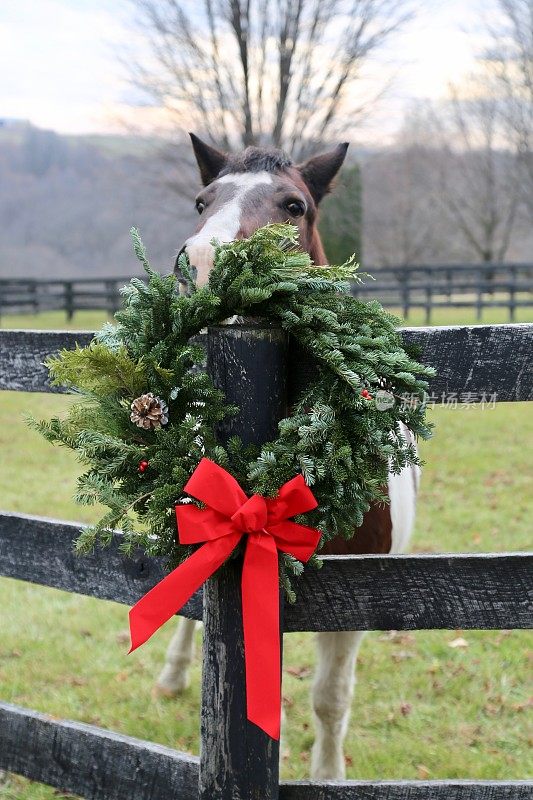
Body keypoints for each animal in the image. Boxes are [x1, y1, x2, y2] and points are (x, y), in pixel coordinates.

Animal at [155, 133, 420, 780]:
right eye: (201, 202)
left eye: (294, 205)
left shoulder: (357, 604)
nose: (201, 263)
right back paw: (172, 676)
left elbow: (330, 698)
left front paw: (328, 774)